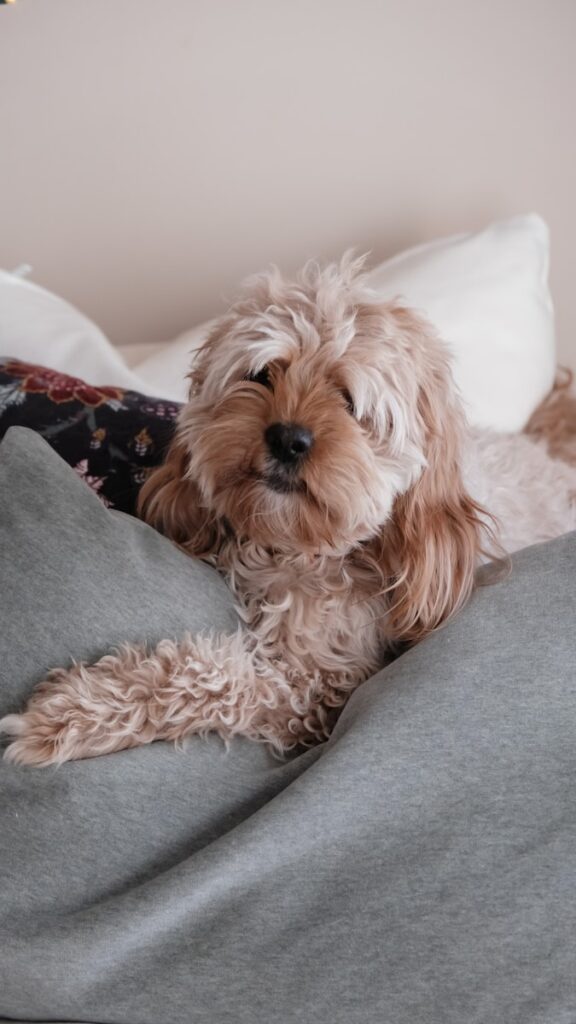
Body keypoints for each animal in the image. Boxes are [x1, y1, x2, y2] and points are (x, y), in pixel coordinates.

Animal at [3, 256, 573, 770]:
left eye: (350, 402)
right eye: (262, 375)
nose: (288, 438)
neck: (293, 550)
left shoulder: (315, 689)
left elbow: (209, 677)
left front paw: (74, 711)